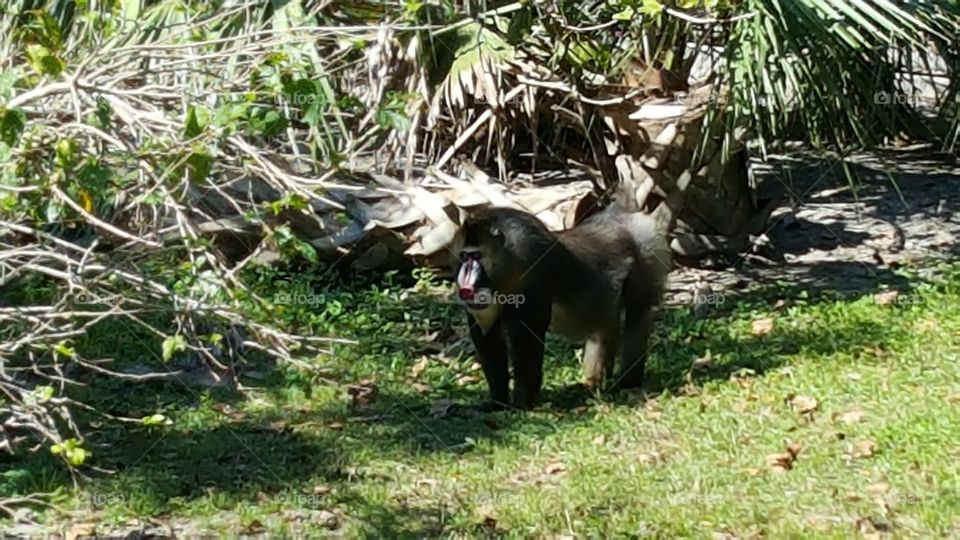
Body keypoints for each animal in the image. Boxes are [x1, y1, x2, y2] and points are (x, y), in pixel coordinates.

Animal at [454, 205, 671, 410]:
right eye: (464, 257)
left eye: (476, 256)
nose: (465, 282)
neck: (511, 262)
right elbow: (489, 342)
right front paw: (496, 403)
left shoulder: (532, 285)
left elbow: (527, 343)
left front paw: (521, 404)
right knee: (604, 329)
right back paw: (595, 384)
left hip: (645, 262)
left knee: (637, 315)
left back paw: (626, 382)